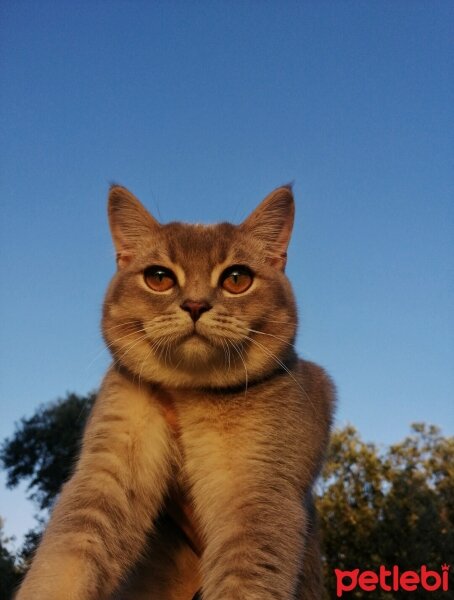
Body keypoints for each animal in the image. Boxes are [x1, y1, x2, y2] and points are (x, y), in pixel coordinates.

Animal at [15, 185, 334, 596]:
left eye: (236, 278)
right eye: (159, 277)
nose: (195, 305)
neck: (188, 393)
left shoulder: (258, 493)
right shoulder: (109, 469)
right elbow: (66, 558)